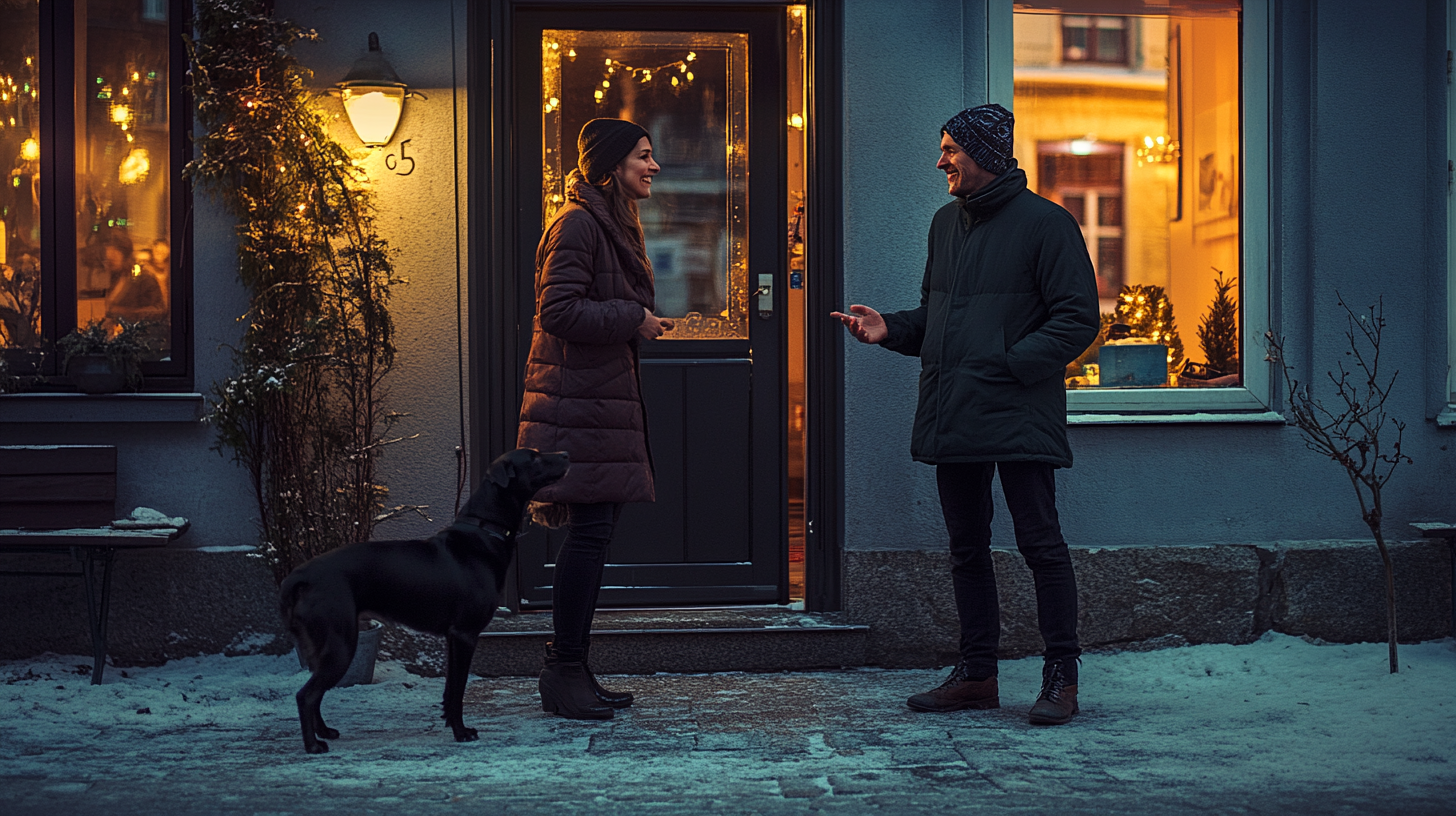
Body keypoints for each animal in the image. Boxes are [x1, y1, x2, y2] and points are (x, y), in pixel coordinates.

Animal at [278, 445, 567, 751]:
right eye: (533, 457)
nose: (567, 454)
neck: (482, 531)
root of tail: (300, 575)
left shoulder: (453, 638)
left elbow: (450, 690)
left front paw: (451, 724)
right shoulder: (465, 634)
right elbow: (459, 688)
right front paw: (461, 732)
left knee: (315, 692)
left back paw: (324, 731)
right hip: (341, 644)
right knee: (306, 695)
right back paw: (313, 745)